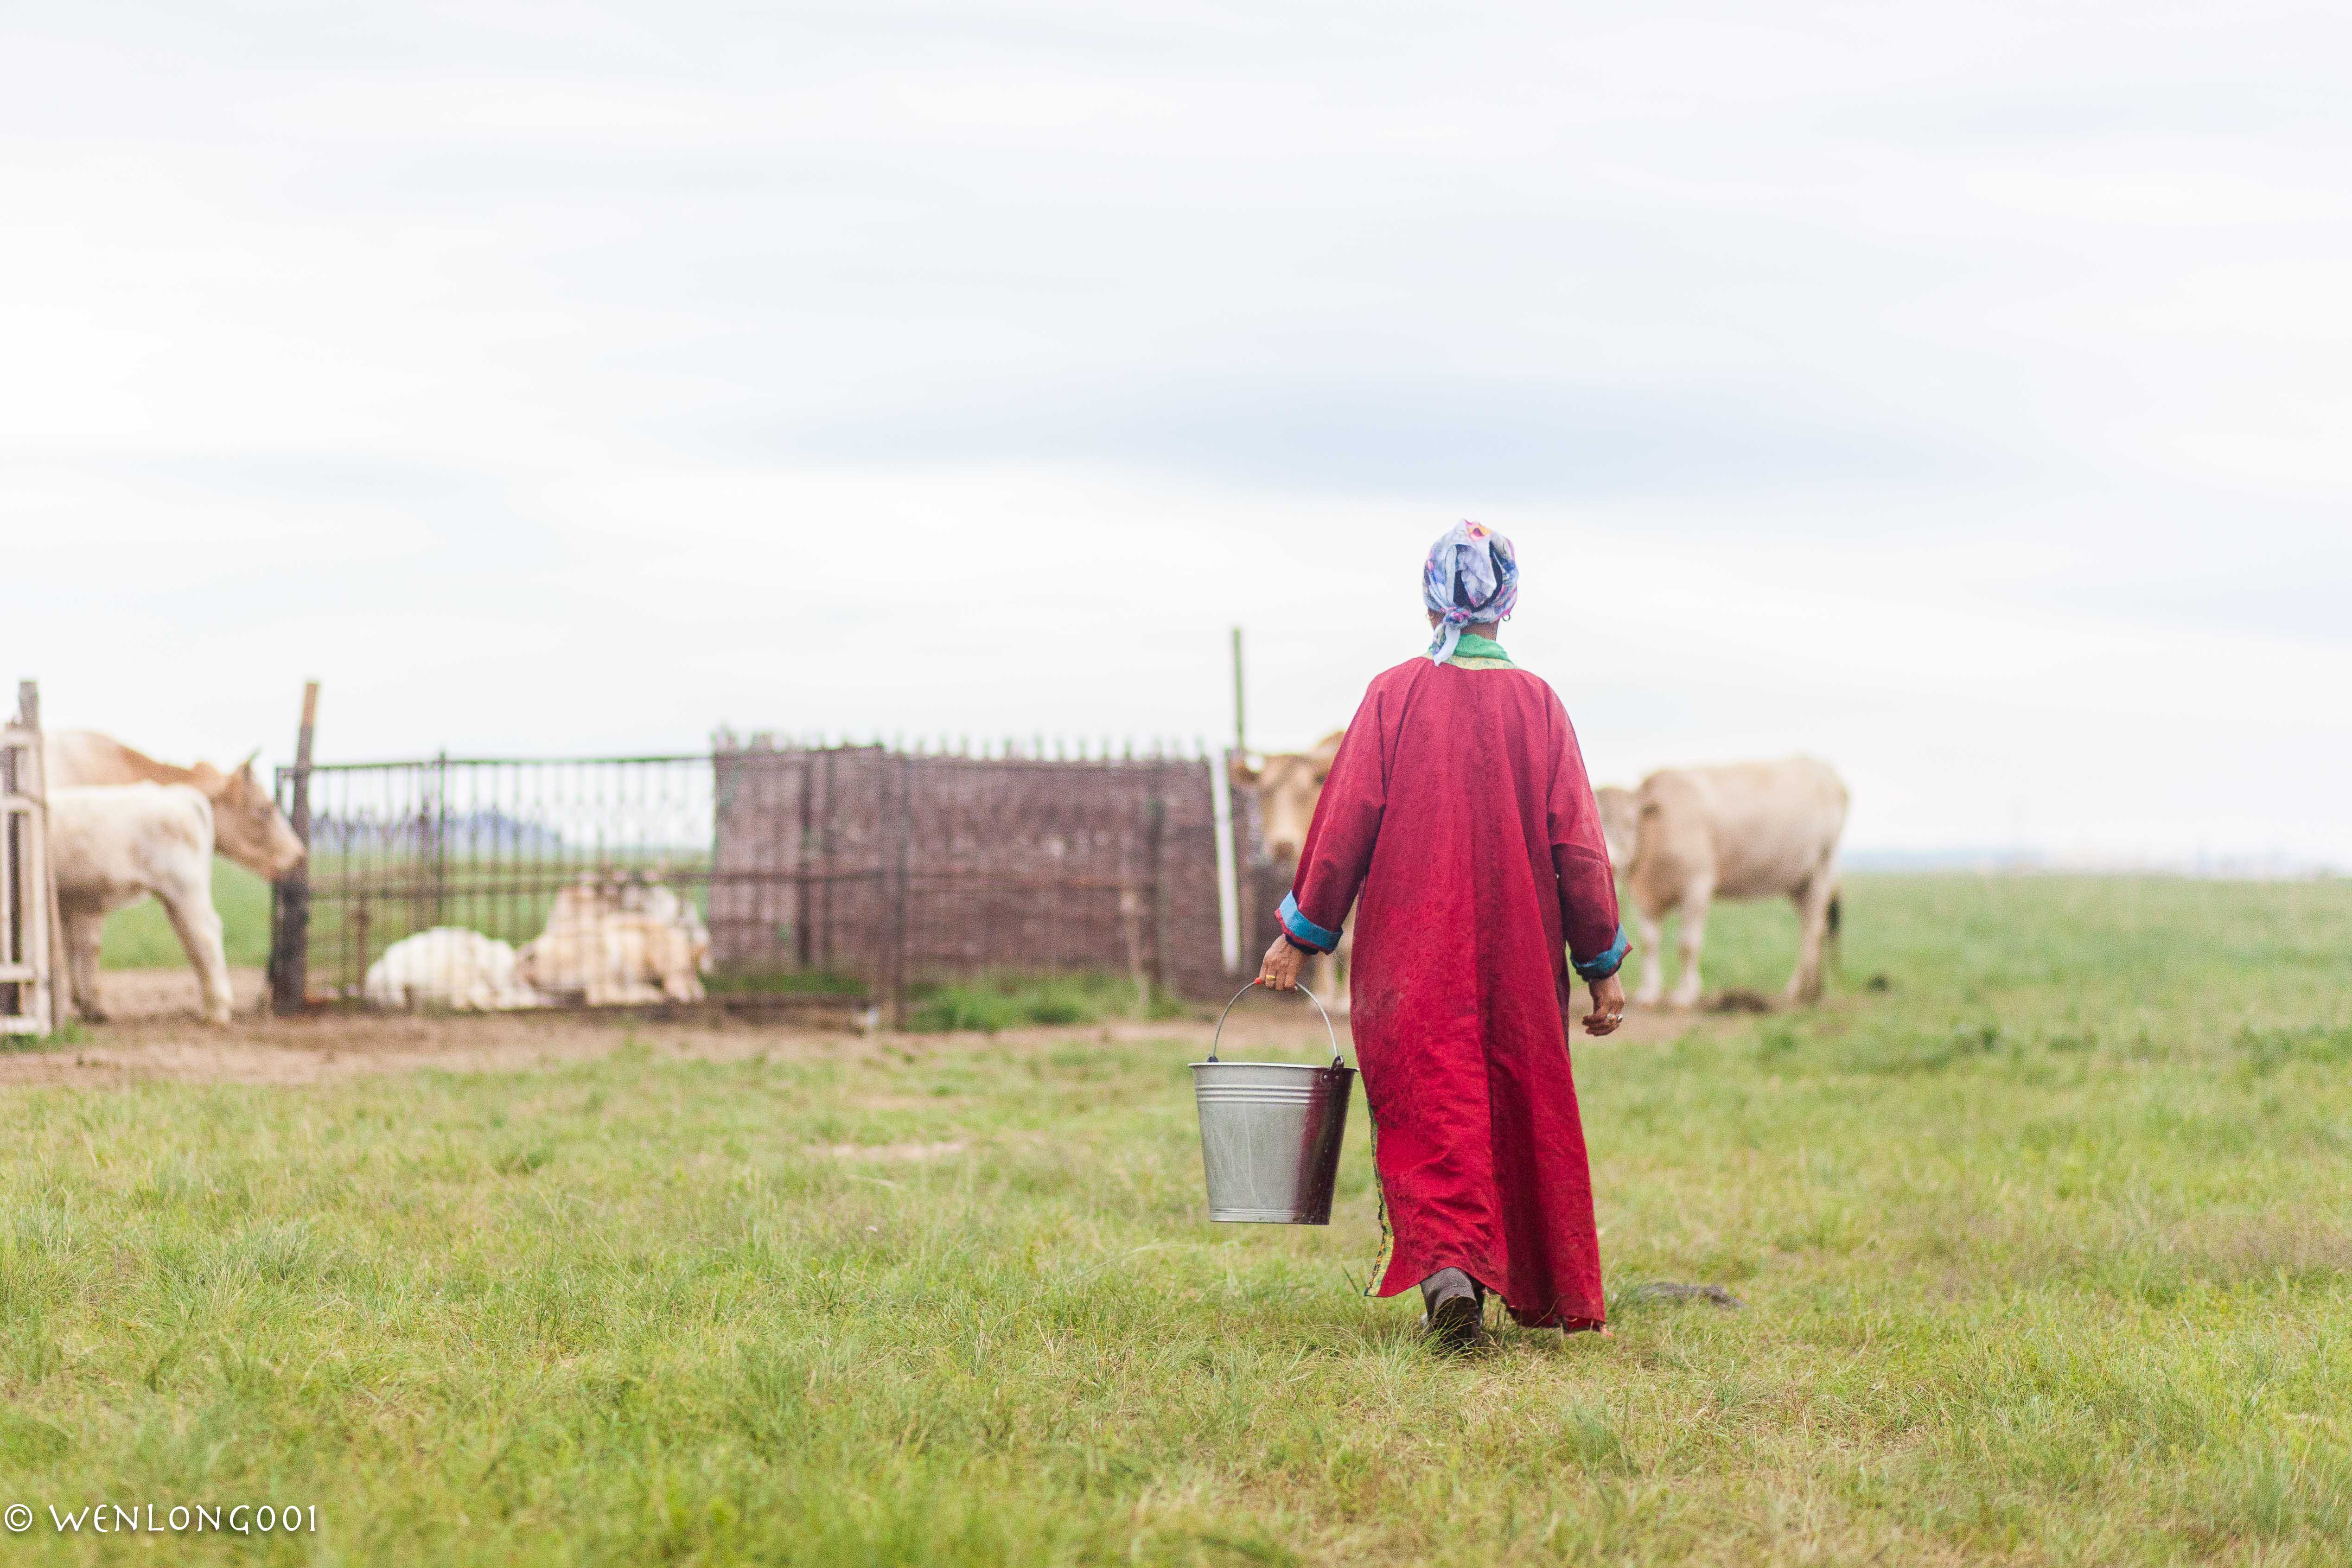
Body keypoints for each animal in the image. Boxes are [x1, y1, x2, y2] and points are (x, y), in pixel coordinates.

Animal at [1599, 757, 1853, 1006]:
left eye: (1629, 822)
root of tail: (1826, 771)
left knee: (1813, 930)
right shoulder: (1645, 898)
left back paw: (1801, 992)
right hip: (1800, 884)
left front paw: (1687, 994)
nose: (1613, 862)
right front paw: (1650, 992)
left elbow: (1687, 944)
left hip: (1823, 868)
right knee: (1811, 927)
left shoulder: (1697, 886)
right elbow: (1649, 944)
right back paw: (1809, 989)